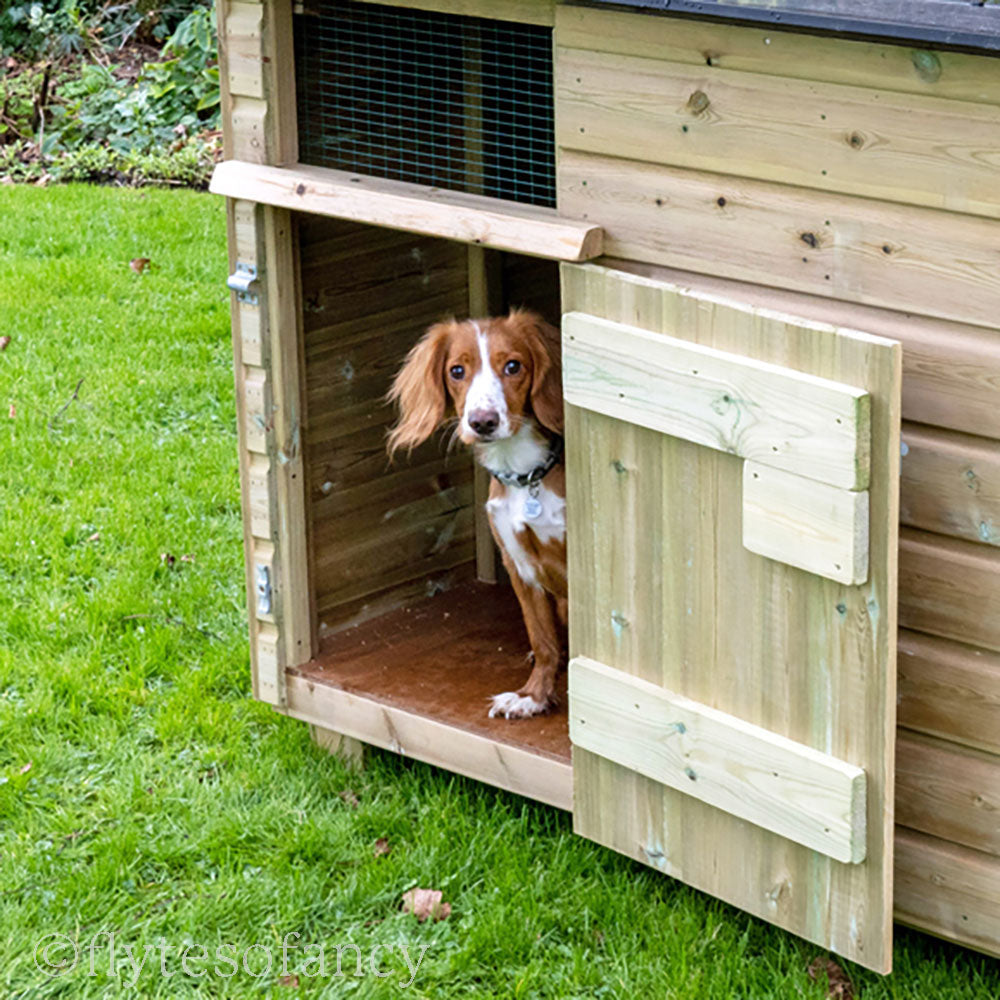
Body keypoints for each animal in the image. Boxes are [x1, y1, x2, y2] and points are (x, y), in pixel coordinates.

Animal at [386, 312, 568, 720]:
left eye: (513, 366)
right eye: (457, 370)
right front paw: (534, 696)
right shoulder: (519, 563)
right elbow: (543, 638)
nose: (482, 422)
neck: (527, 476)